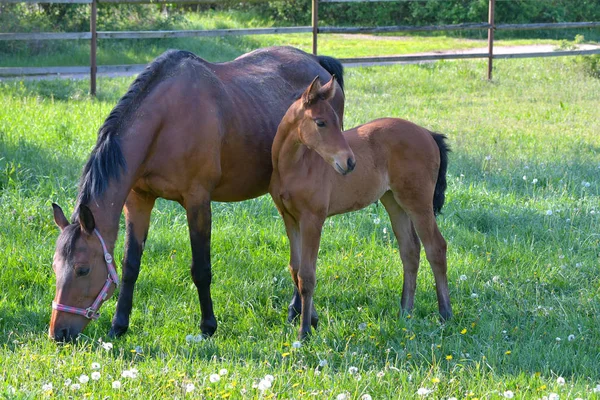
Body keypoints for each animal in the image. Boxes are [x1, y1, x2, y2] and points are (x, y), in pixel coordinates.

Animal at [49, 46, 344, 340]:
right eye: (54, 267)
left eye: (82, 269)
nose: (58, 333)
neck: (165, 122)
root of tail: (316, 61)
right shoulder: (138, 201)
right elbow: (130, 264)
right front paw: (119, 325)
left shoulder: (198, 202)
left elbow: (201, 269)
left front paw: (208, 326)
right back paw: (297, 311)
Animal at [270, 76, 452, 340]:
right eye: (321, 122)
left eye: (338, 121)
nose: (349, 162)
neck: (297, 166)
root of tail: (428, 133)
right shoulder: (289, 218)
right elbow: (295, 270)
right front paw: (310, 320)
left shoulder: (313, 220)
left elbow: (307, 275)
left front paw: (304, 332)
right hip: (394, 202)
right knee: (410, 250)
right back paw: (405, 313)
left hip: (418, 202)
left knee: (436, 248)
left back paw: (445, 314)